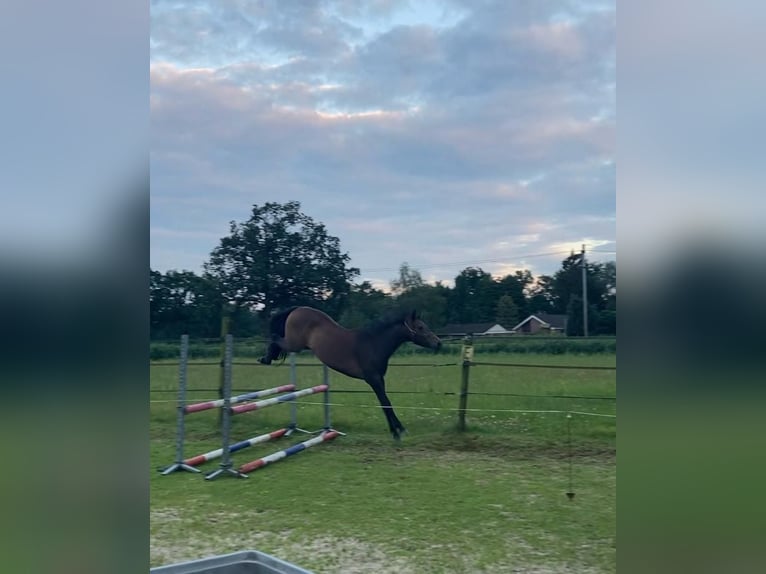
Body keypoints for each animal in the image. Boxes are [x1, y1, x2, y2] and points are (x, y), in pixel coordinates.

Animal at [260, 308, 444, 444]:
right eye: (420, 327)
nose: (438, 343)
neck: (374, 343)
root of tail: (297, 309)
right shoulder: (373, 380)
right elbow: (386, 403)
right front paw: (398, 431)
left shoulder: (380, 379)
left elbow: (386, 403)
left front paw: (397, 430)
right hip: (294, 344)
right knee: (275, 339)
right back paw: (265, 358)